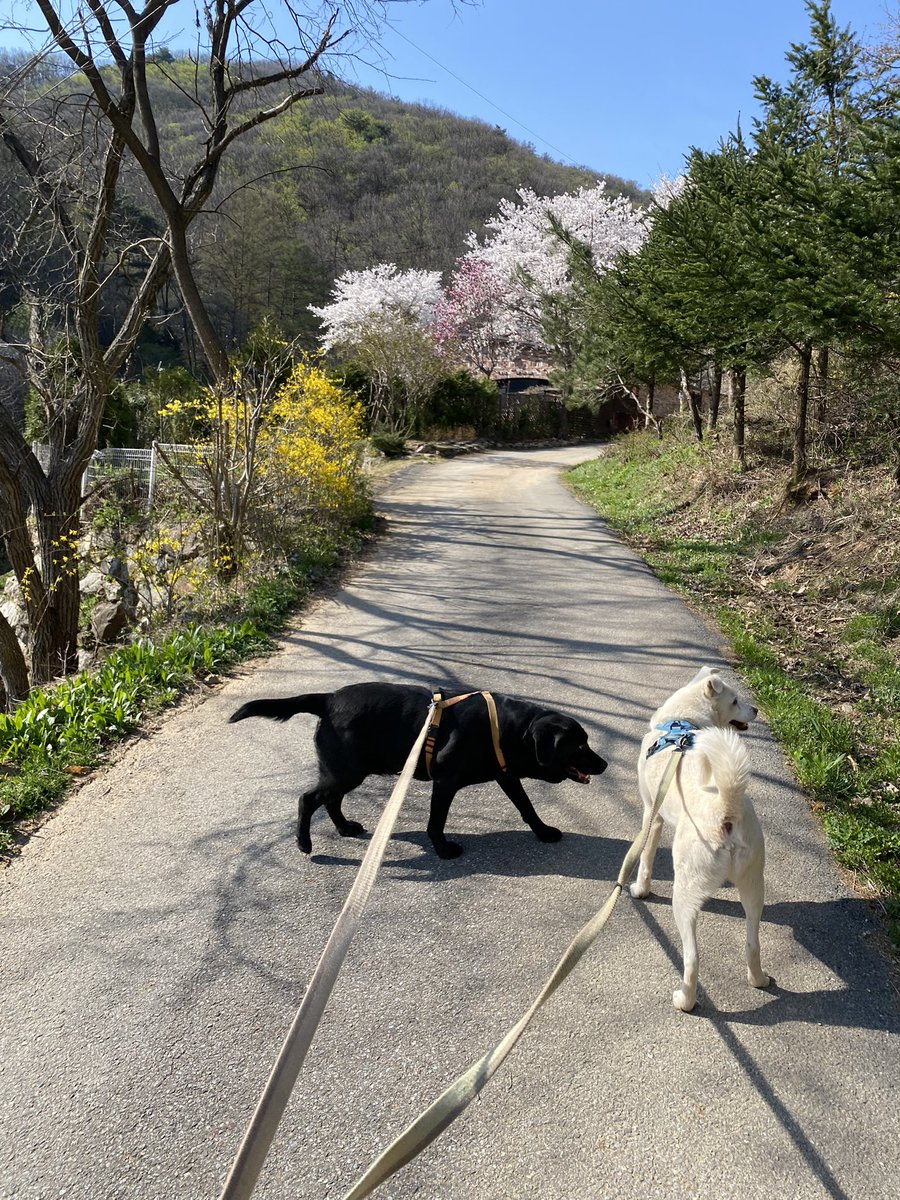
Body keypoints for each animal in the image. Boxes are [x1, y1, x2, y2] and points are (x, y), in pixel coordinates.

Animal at [229, 681, 609, 859]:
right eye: (579, 746)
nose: (604, 764)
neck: (509, 729)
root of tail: (328, 699)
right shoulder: (446, 781)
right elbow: (436, 821)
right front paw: (443, 850)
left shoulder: (507, 775)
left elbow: (527, 807)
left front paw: (543, 832)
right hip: (346, 770)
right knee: (308, 799)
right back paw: (304, 842)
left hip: (348, 771)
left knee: (331, 800)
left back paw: (345, 828)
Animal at [628, 672, 772, 1008]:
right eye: (735, 700)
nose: (756, 710)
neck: (682, 721)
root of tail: (727, 808)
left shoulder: (651, 815)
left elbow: (645, 858)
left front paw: (640, 889)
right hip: (753, 885)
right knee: (753, 944)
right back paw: (758, 981)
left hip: (684, 893)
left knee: (692, 958)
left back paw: (685, 1000)